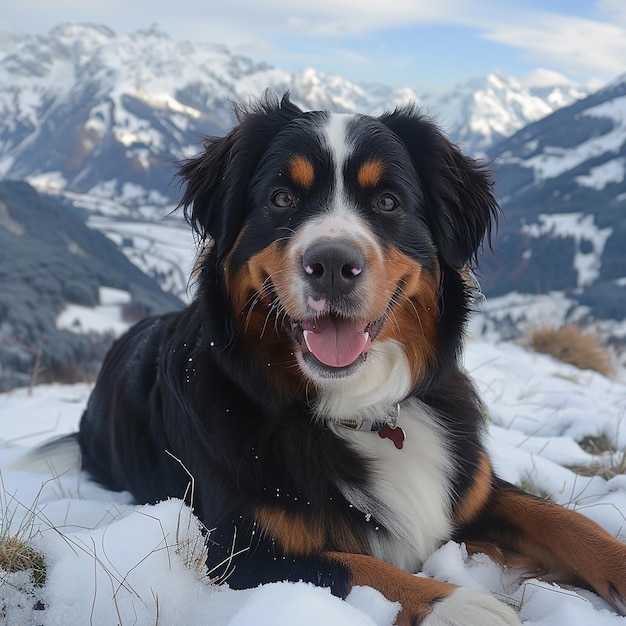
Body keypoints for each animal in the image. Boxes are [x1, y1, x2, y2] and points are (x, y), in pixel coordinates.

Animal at [75, 94, 620, 624]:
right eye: (281, 198)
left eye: (387, 201)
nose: (333, 264)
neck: (360, 409)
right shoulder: (236, 551)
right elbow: (356, 567)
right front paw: (463, 607)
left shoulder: (476, 489)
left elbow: (564, 519)